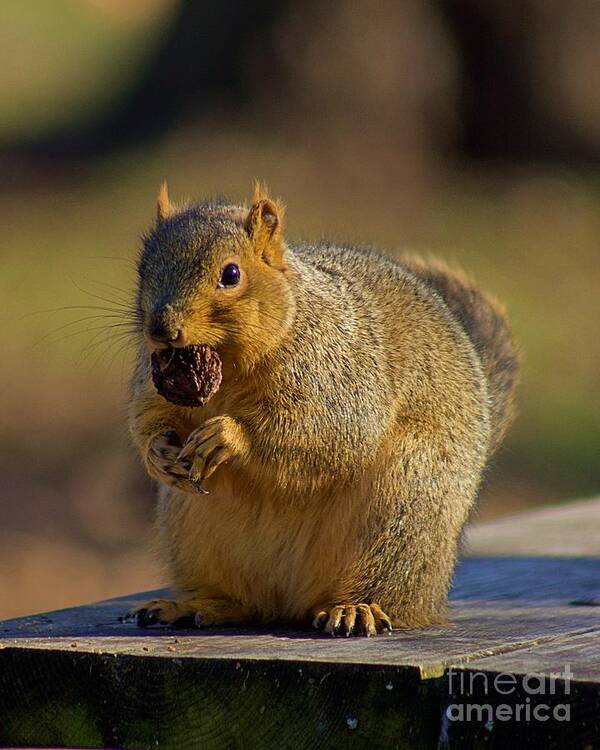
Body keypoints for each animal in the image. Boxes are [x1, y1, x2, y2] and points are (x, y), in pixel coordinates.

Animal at [124, 182, 516, 636]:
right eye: (143, 269)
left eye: (231, 274)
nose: (161, 330)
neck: (231, 365)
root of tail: (289, 602)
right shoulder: (153, 378)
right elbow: (147, 415)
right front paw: (157, 452)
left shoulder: (342, 372)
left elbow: (330, 431)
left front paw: (229, 435)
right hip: (190, 531)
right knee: (243, 601)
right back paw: (193, 604)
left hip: (403, 506)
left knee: (387, 591)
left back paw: (356, 608)